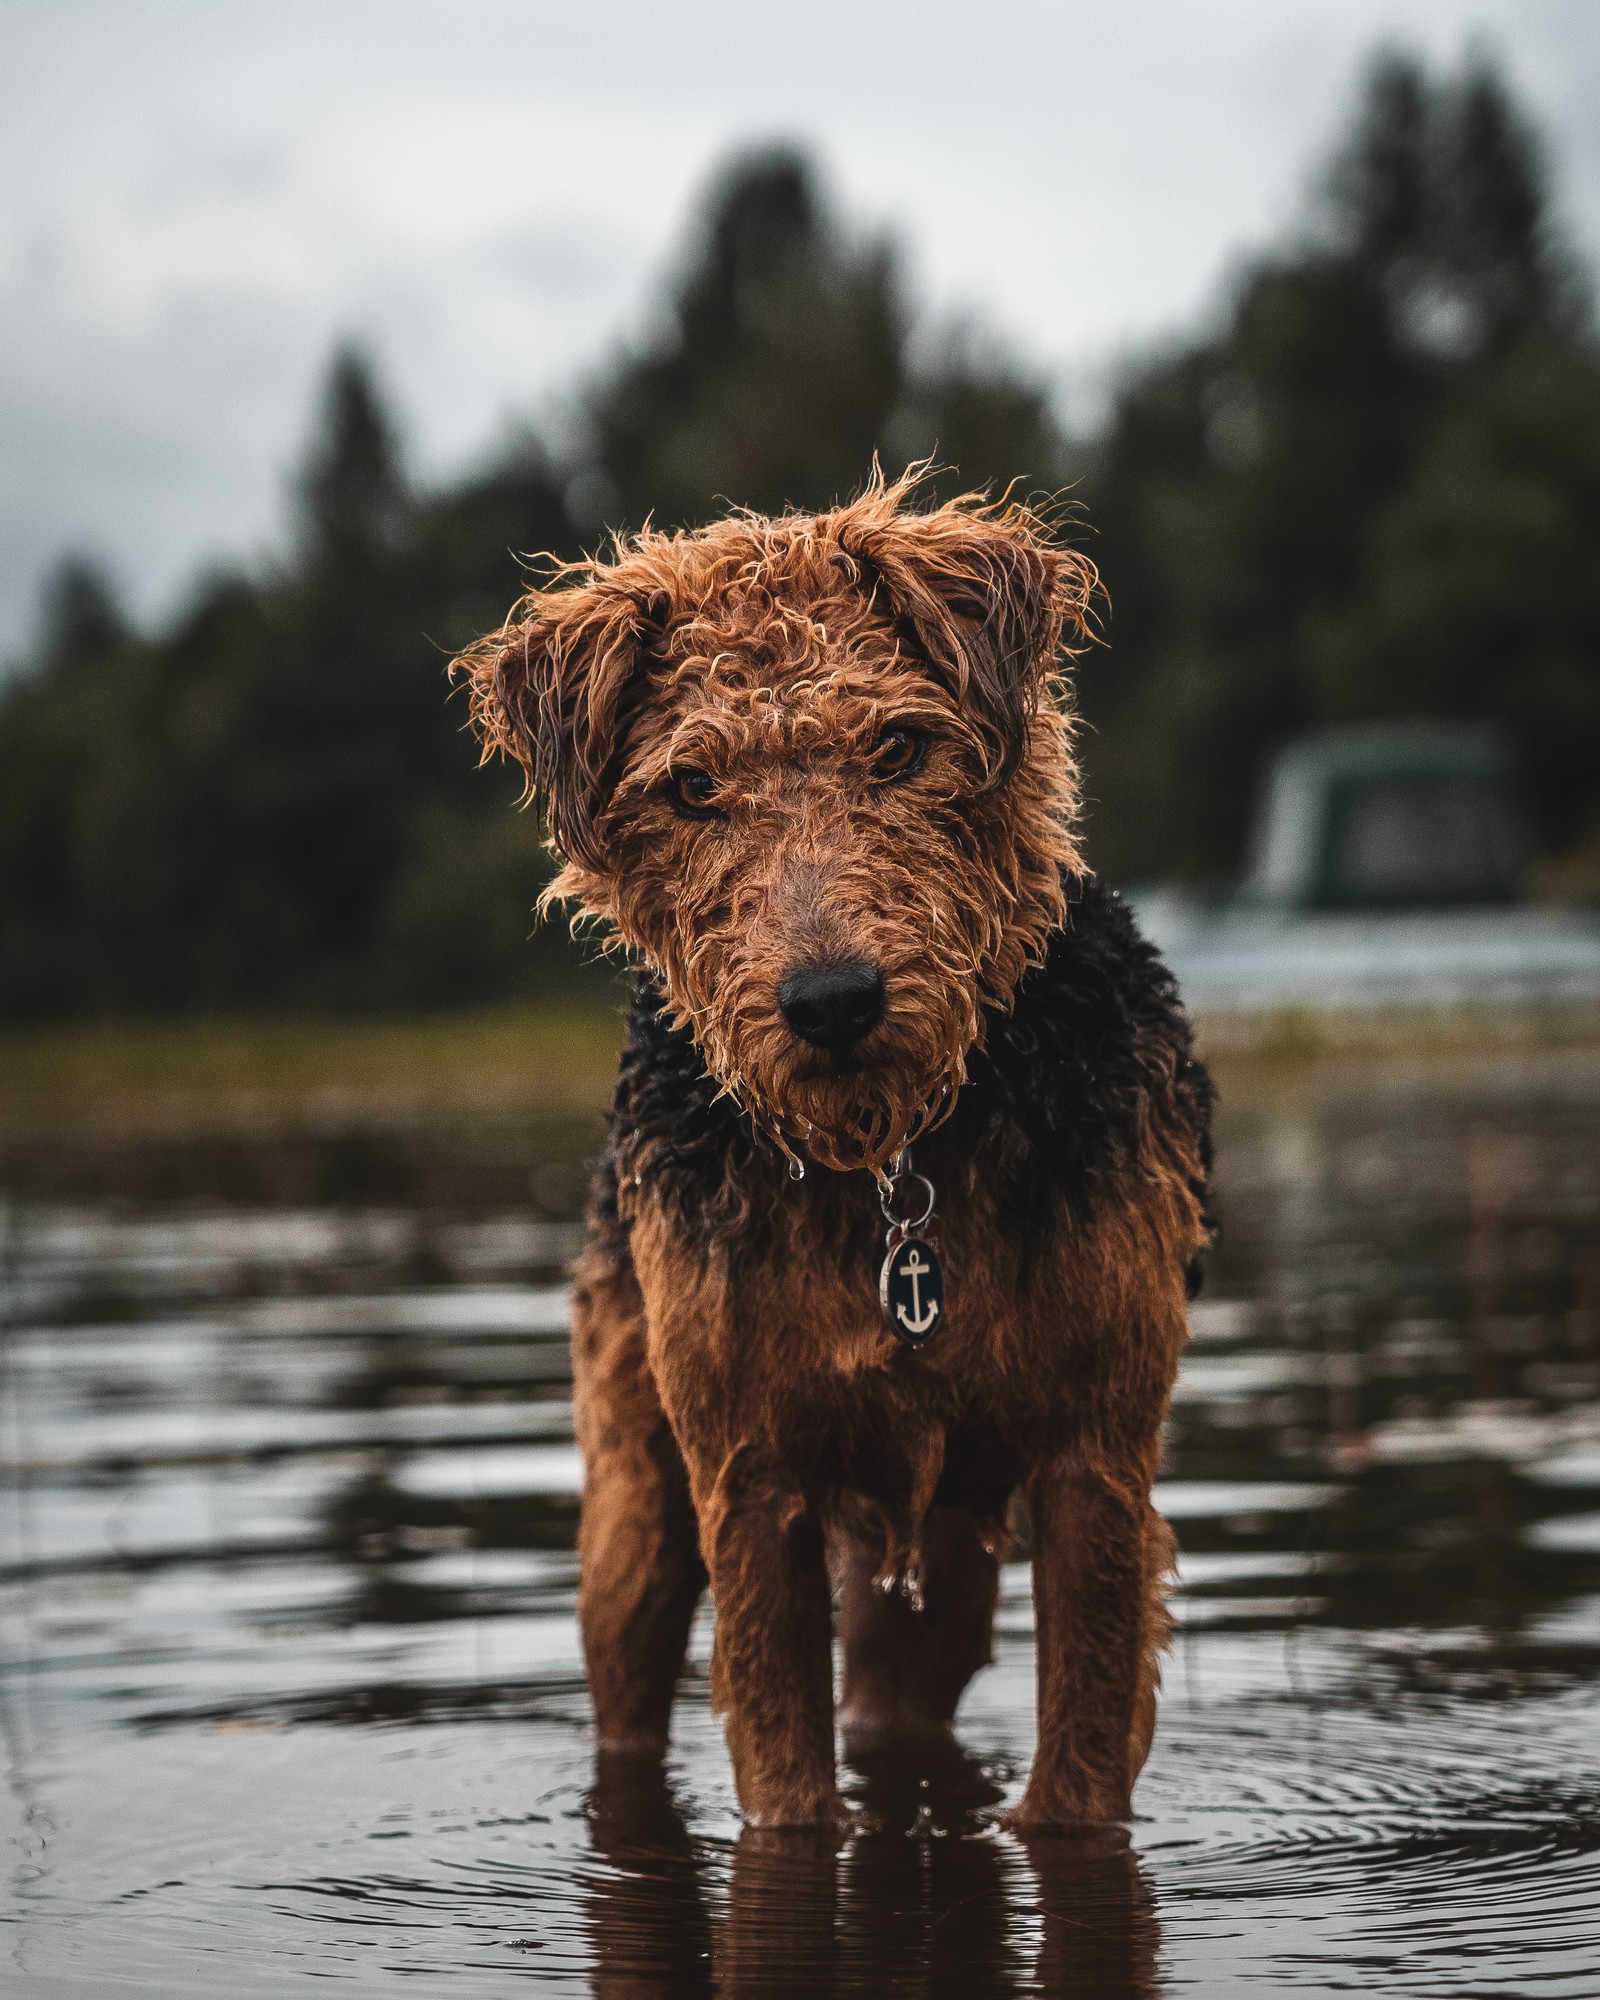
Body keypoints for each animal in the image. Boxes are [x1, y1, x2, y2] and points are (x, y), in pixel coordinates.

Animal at [456, 472, 1216, 1832]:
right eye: (692, 786)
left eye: (901, 747)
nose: (832, 1003)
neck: (893, 1168)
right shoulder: (750, 1482)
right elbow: (784, 1778)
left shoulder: (1095, 1461)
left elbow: (1074, 1779)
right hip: (638, 1518)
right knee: (630, 1688)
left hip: (943, 1549)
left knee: (892, 1698)